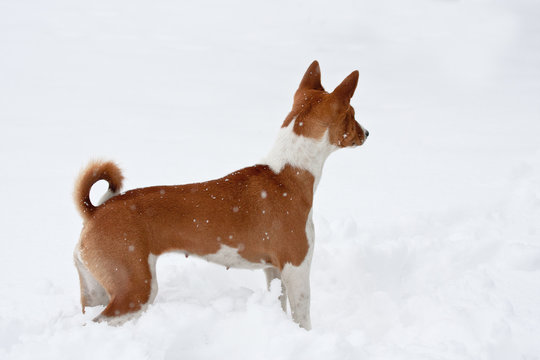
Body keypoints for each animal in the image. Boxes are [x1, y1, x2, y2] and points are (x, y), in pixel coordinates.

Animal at [74, 61, 370, 330]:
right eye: (352, 113)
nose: (367, 132)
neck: (288, 173)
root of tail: (95, 212)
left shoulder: (273, 269)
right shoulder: (296, 267)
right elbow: (303, 318)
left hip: (97, 290)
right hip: (135, 290)